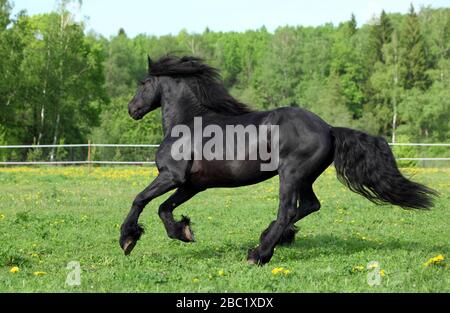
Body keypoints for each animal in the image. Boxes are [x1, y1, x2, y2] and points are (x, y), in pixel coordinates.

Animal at [119, 55, 436, 264]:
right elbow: (164, 208)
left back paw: (258, 254)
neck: (188, 124)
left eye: (144, 83)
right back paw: (269, 238)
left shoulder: (171, 176)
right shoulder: (193, 184)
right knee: (309, 206)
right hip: (303, 178)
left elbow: (140, 199)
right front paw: (183, 232)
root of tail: (329, 129)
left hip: (291, 175)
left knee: (287, 210)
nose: (131, 109)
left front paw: (127, 239)